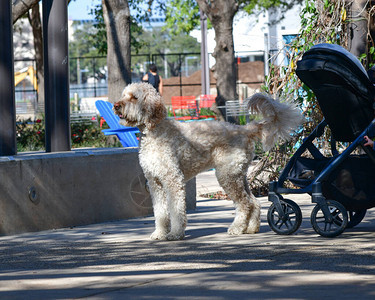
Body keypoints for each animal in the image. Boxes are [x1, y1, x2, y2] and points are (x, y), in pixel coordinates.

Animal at [114, 82, 302, 241]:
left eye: (134, 97)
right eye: (123, 95)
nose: (116, 105)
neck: (155, 131)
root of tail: (244, 129)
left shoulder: (173, 180)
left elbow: (176, 210)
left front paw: (175, 234)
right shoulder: (155, 183)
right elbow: (160, 212)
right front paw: (159, 233)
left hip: (227, 175)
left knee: (245, 204)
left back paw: (236, 228)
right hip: (239, 175)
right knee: (254, 202)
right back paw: (250, 228)